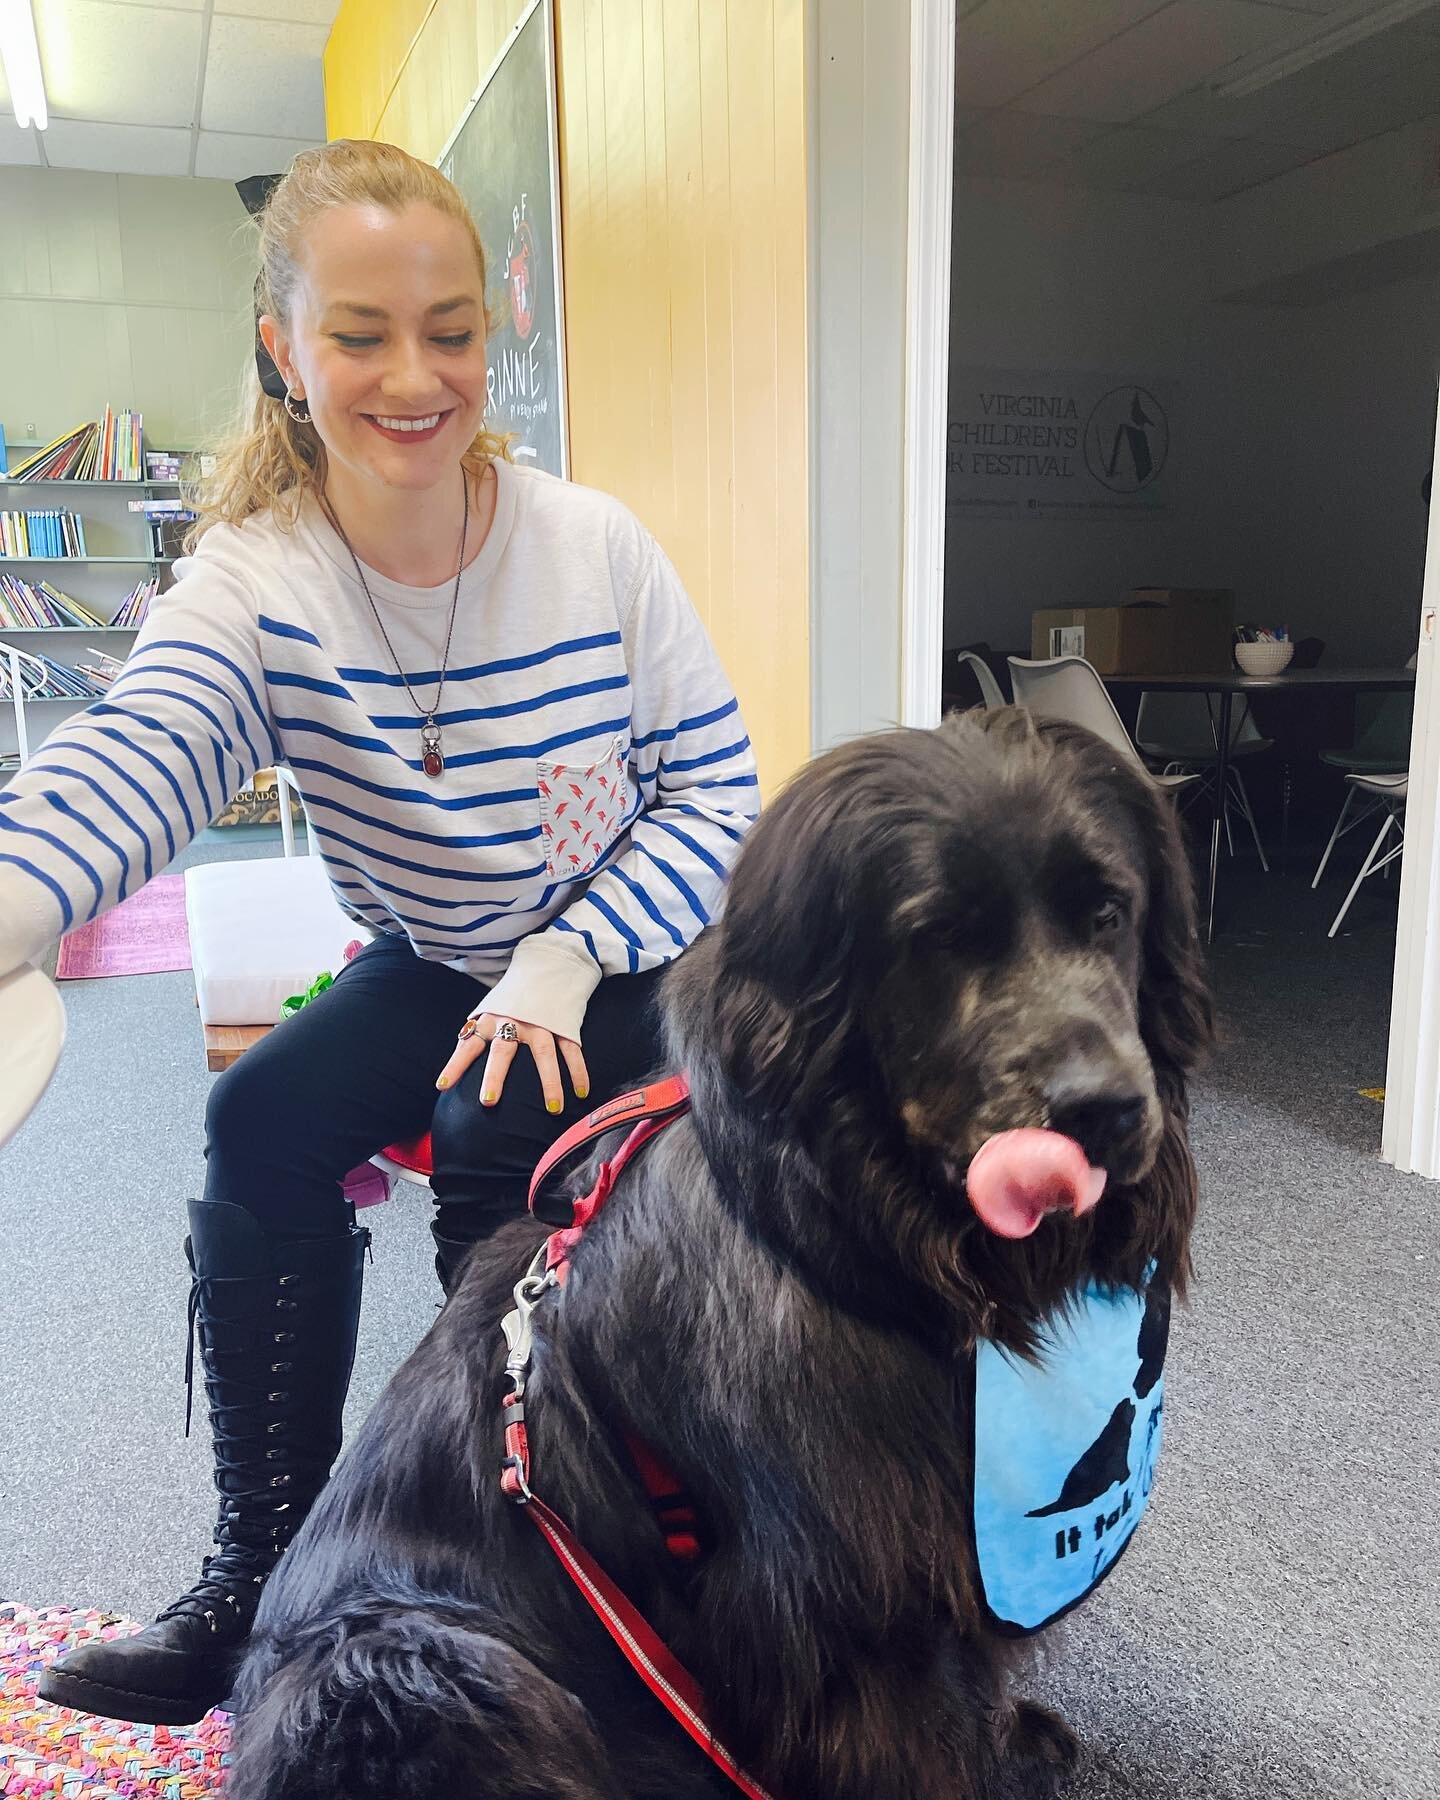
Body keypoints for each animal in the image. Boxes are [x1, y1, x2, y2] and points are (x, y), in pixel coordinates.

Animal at [230, 709, 1209, 1800]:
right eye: (937, 938)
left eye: (1108, 914)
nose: (1106, 1110)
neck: (876, 1248)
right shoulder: (849, 1619)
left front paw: (1016, 1736)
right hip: (414, 1664)